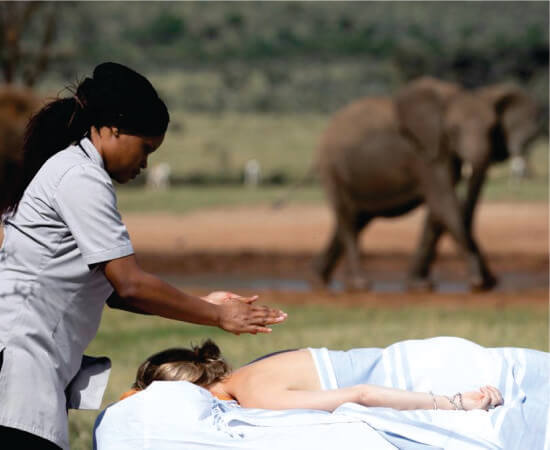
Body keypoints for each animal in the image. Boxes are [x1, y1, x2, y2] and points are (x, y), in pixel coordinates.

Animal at [316, 75, 540, 290]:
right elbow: (444, 204)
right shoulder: (425, 153)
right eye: (453, 130)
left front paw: (419, 285)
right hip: (331, 167)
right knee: (347, 218)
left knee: (357, 219)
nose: (492, 279)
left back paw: (318, 278)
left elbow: (437, 213)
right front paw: (479, 282)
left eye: (493, 129)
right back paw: (358, 284)